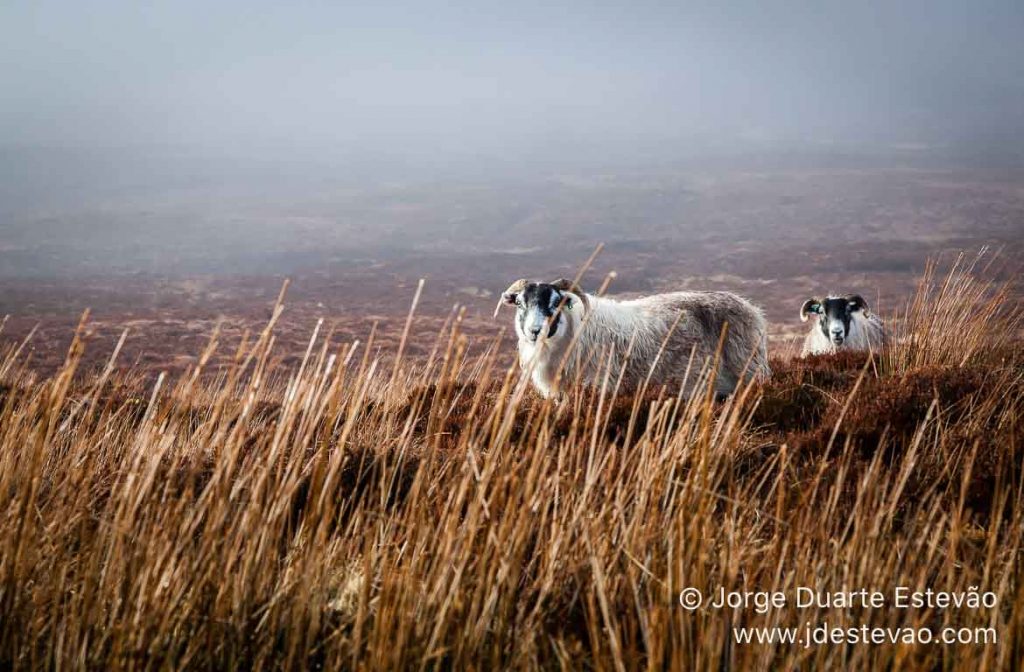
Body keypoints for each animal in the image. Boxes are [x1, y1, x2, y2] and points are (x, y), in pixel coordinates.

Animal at [495, 278, 770, 399]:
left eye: (556, 303)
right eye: (520, 303)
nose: (535, 330)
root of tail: (752, 309)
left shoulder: (601, 385)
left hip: (750, 370)